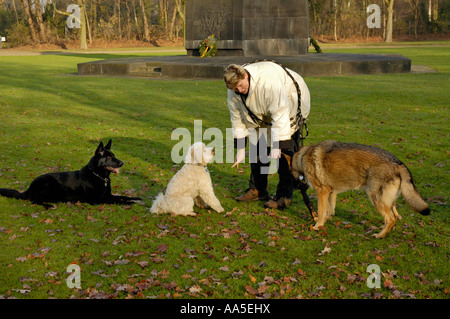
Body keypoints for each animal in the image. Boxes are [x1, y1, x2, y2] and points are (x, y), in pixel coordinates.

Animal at [0, 140, 142, 208]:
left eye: (113, 155)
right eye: (108, 157)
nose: (122, 163)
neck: (99, 176)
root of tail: (29, 188)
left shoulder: (108, 195)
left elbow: (122, 196)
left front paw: (136, 198)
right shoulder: (99, 200)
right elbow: (118, 201)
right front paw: (130, 203)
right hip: (49, 184)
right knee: (34, 200)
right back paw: (48, 205)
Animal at [290, 141, 430, 239]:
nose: (297, 188)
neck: (301, 158)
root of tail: (399, 163)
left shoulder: (322, 191)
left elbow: (320, 211)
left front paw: (318, 225)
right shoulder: (331, 192)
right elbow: (330, 208)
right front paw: (327, 219)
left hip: (375, 199)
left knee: (391, 218)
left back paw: (380, 235)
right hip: (388, 201)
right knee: (395, 216)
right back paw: (384, 229)